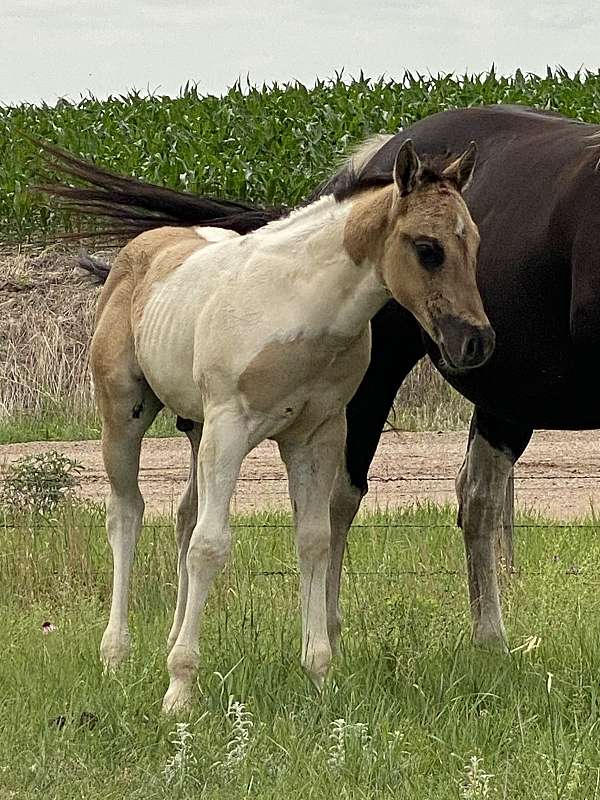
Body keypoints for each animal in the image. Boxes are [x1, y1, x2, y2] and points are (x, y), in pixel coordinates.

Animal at [72, 138, 490, 711]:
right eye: (428, 248)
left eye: (474, 244)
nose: (477, 343)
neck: (303, 309)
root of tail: (136, 252)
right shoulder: (230, 426)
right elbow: (211, 545)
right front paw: (179, 689)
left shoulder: (316, 436)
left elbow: (313, 540)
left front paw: (319, 676)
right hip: (125, 413)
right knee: (127, 513)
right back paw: (116, 655)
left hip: (196, 428)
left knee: (183, 515)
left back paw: (169, 636)